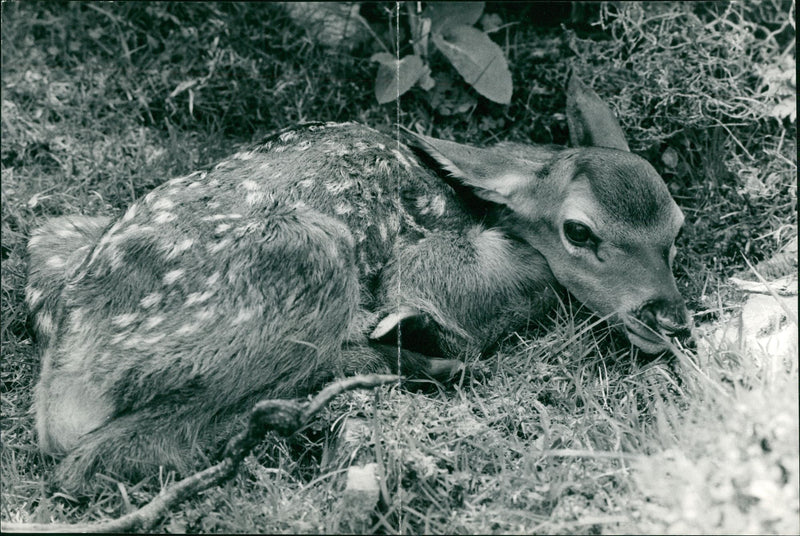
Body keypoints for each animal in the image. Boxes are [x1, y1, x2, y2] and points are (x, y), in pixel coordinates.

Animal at [25, 73, 688, 492]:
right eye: (579, 231)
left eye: (676, 228)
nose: (670, 316)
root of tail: (67, 376)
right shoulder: (424, 261)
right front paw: (428, 328)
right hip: (310, 256)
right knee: (92, 460)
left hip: (56, 242)